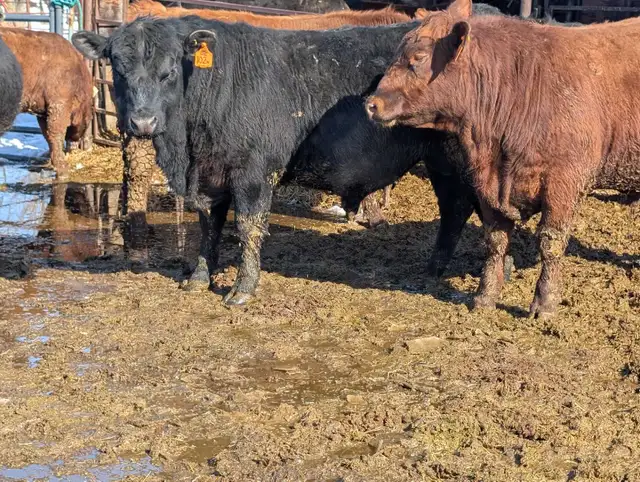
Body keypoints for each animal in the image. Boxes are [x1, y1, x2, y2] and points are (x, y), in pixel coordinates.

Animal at [366, 0, 640, 318]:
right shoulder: (489, 187)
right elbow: (495, 241)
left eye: (418, 57)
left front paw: (544, 303)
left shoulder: (565, 181)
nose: (371, 104)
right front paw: (484, 297)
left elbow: (551, 242)